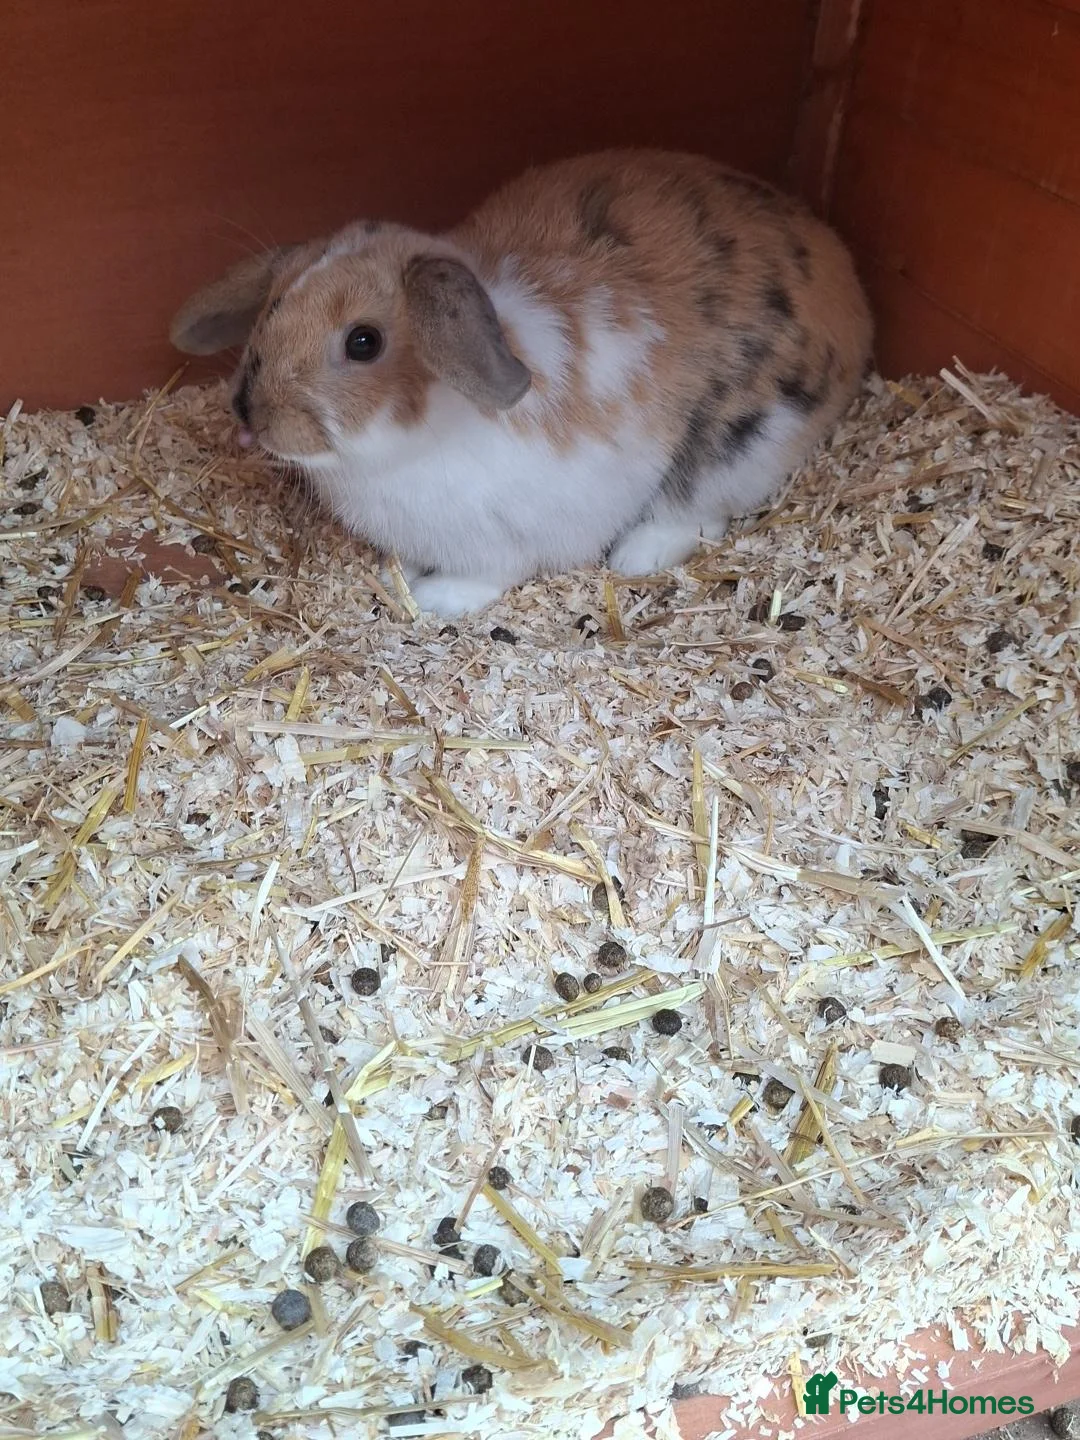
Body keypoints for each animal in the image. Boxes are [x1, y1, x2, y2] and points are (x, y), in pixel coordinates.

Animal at [170, 150, 872, 617]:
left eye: (363, 342)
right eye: (273, 305)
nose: (252, 413)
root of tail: (842, 271)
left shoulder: (504, 541)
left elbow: (487, 575)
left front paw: (433, 597)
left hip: (742, 440)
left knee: (700, 509)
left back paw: (636, 555)